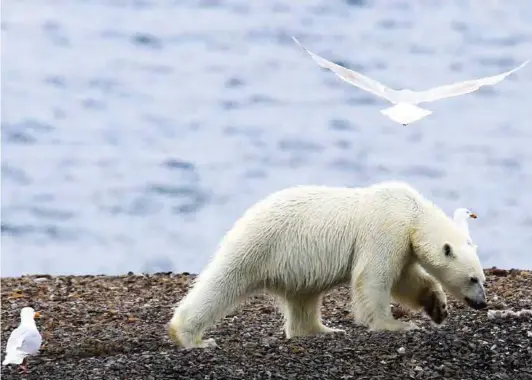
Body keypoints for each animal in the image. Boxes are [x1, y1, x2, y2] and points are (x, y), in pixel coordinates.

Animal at [169, 180, 486, 348]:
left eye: (483, 279)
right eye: (473, 278)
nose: (482, 303)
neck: (411, 213)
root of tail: (245, 217)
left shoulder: (403, 244)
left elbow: (406, 280)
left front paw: (437, 307)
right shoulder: (385, 229)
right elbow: (373, 277)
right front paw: (396, 325)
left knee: (304, 297)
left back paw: (322, 330)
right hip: (261, 244)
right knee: (222, 282)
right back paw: (191, 338)